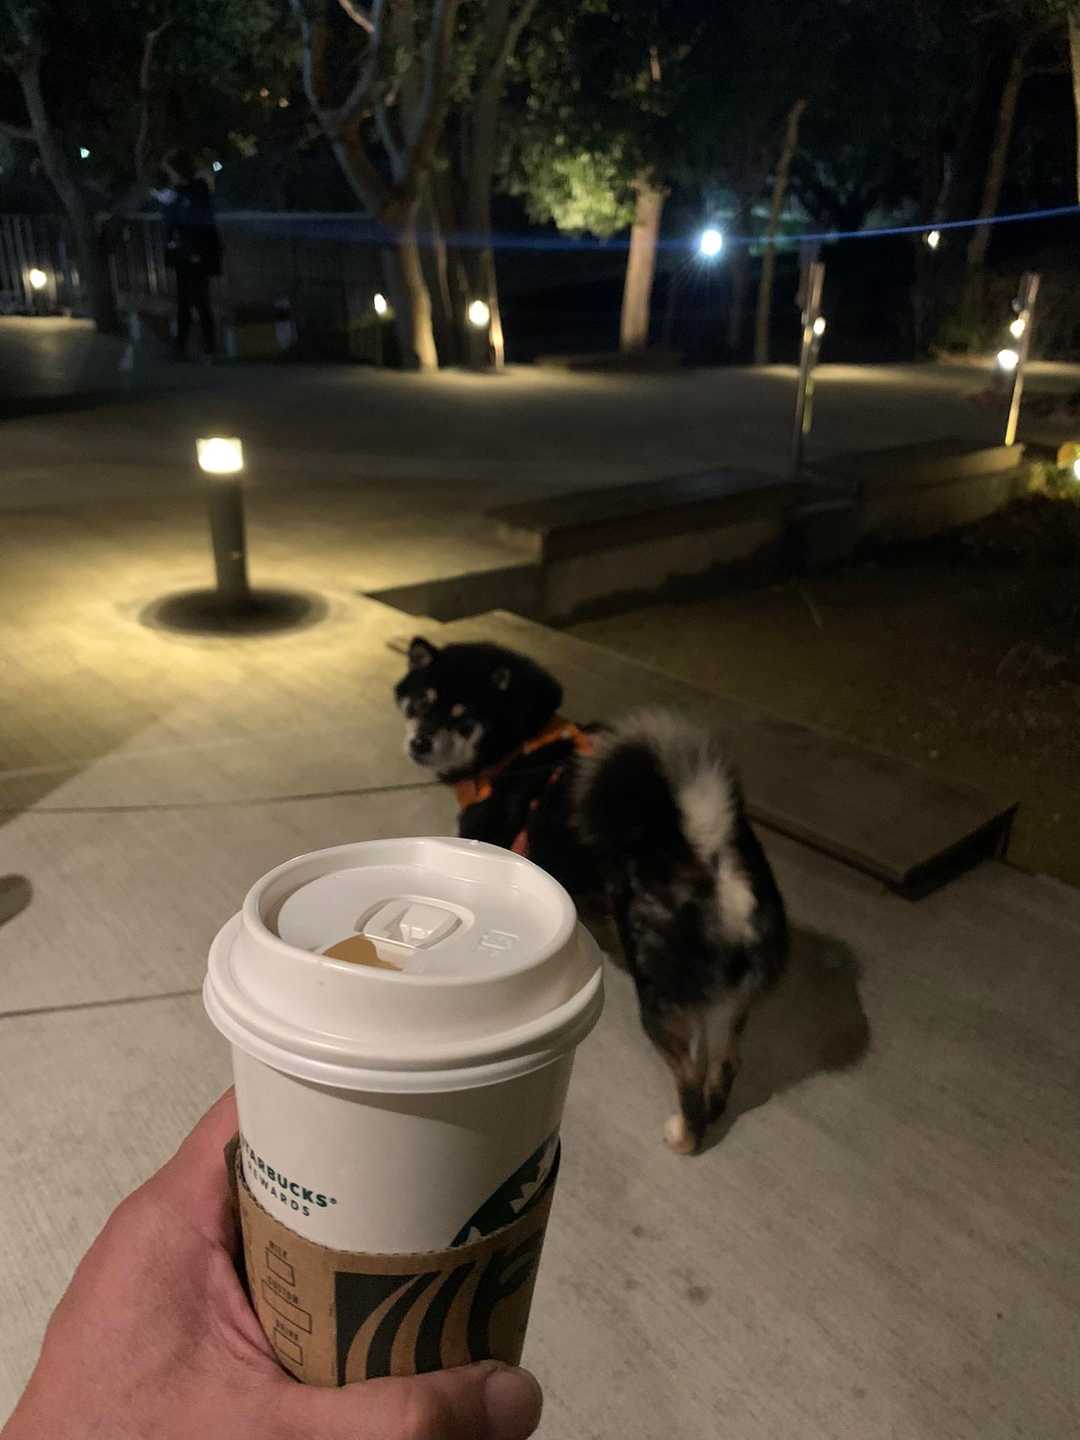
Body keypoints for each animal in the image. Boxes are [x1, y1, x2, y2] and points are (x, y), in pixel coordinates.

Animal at [395, 636, 788, 1154]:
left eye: (463, 718)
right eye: (421, 703)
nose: (419, 742)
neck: (517, 746)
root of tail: (712, 856)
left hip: (663, 997)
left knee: (690, 1076)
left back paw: (684, 1135)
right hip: (723, 1003)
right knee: (725, 1064)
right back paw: (715, 1106)